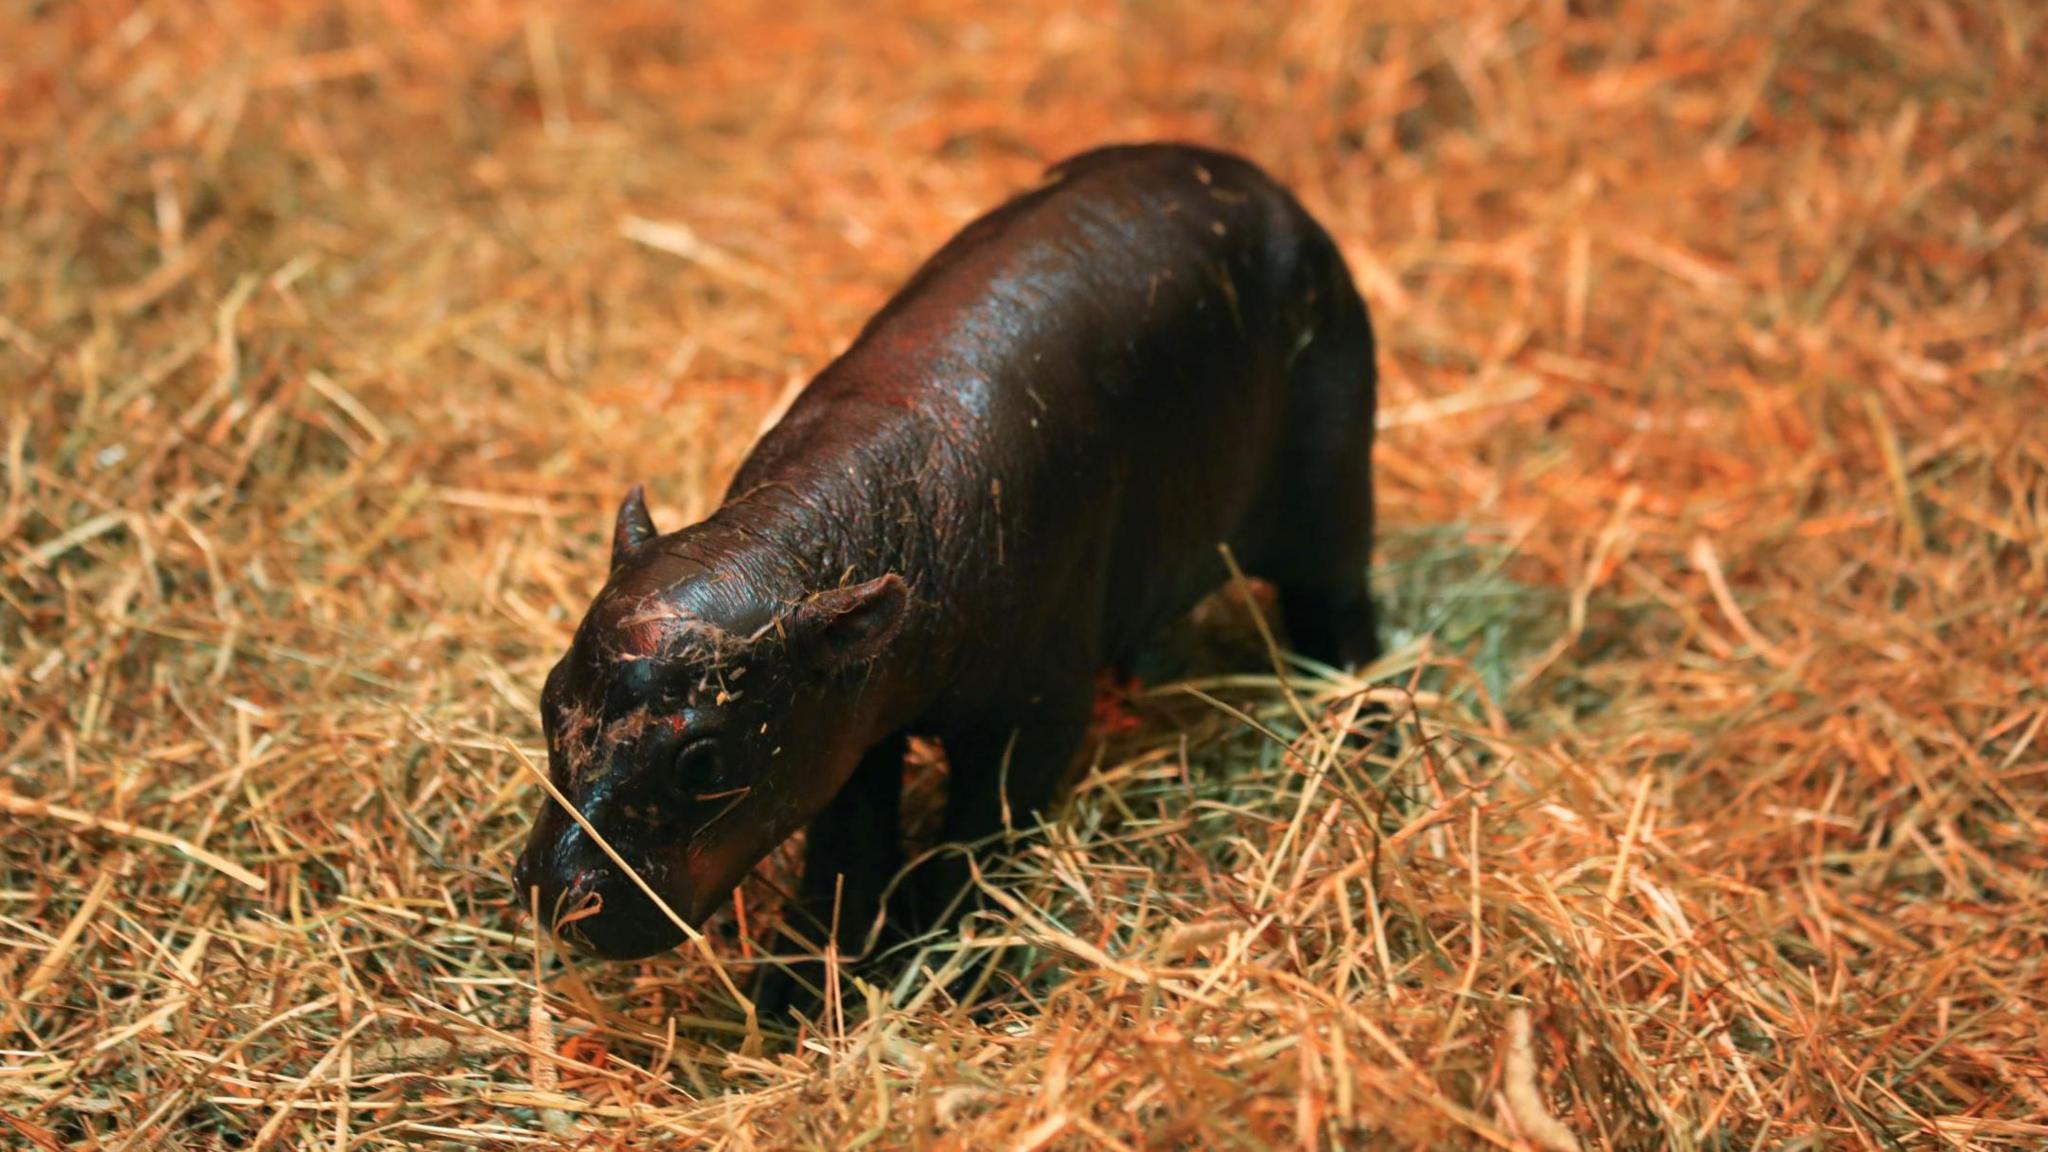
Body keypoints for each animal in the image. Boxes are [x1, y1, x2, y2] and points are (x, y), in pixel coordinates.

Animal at [512, 141, 1384, 988]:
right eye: (550, 698)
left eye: (702, 760)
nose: (556, 895)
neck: (792, 545)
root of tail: (1268, 185)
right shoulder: (847, 723)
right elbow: (848, 848)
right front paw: (800, 986)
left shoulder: (1032, 715)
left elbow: (975, 837)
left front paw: (932, 965)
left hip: (1333, 496)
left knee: (1339, 608)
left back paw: (1362, 729)